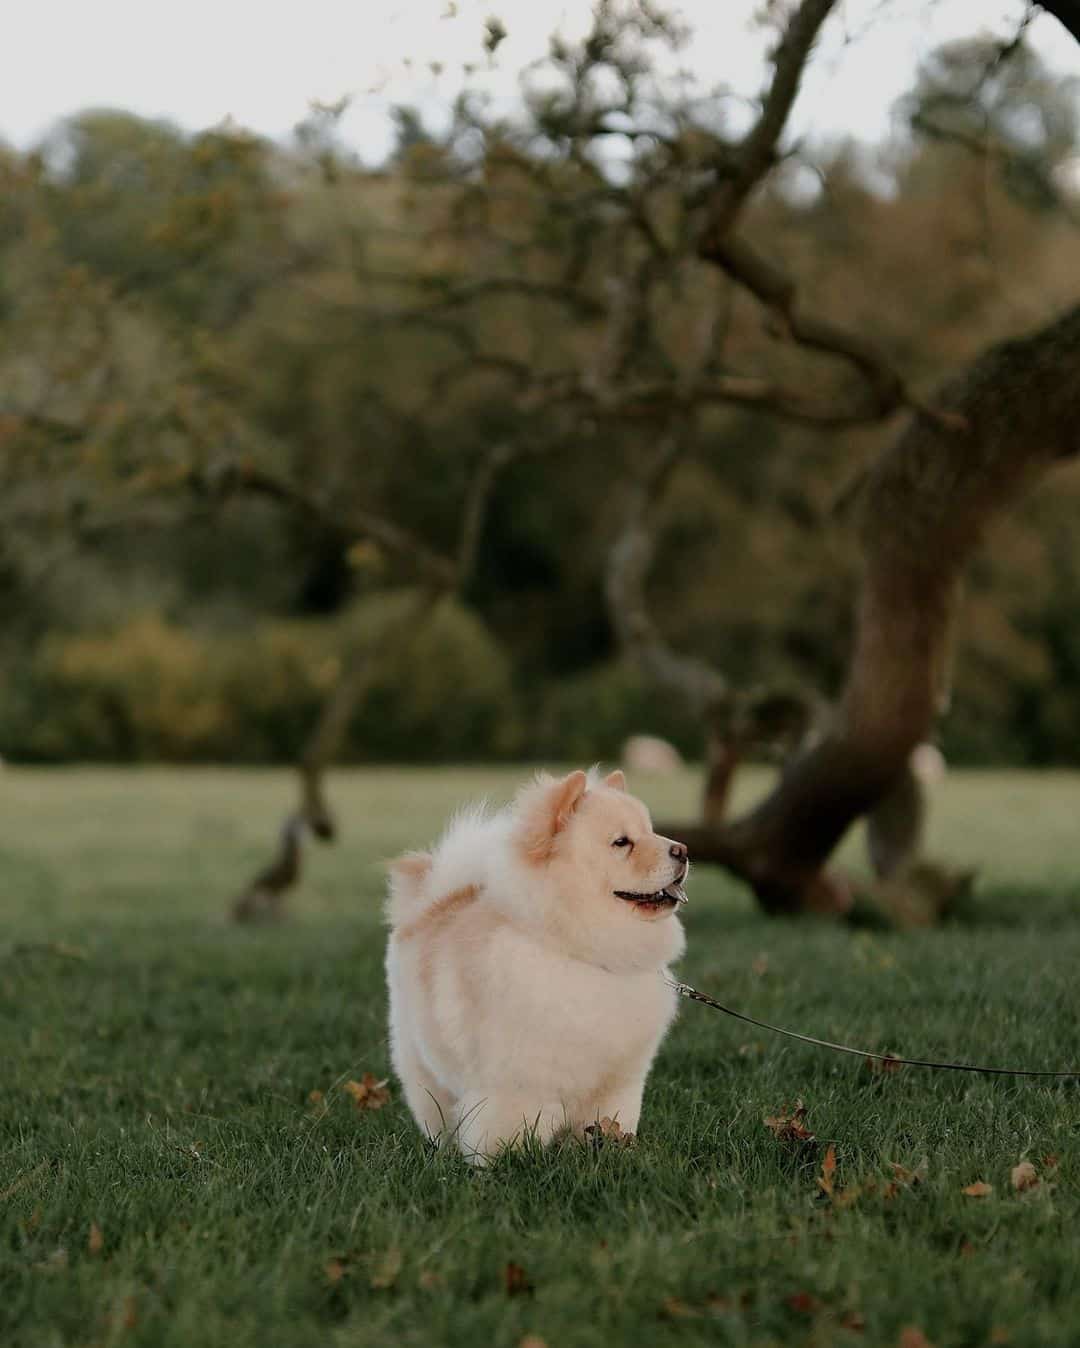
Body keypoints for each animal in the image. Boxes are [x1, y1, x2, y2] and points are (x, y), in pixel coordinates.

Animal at [382, 771, 687, 1159]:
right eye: (621, 842)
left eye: (651, 832)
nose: (683, 850)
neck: (582, 953)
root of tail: (433, 902)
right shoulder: (519, 1080)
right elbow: (512, 1124)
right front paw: (510, 1159)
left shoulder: (618, 1080)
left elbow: (608, 1118)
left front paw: (606, 1149)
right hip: (422, 1061)